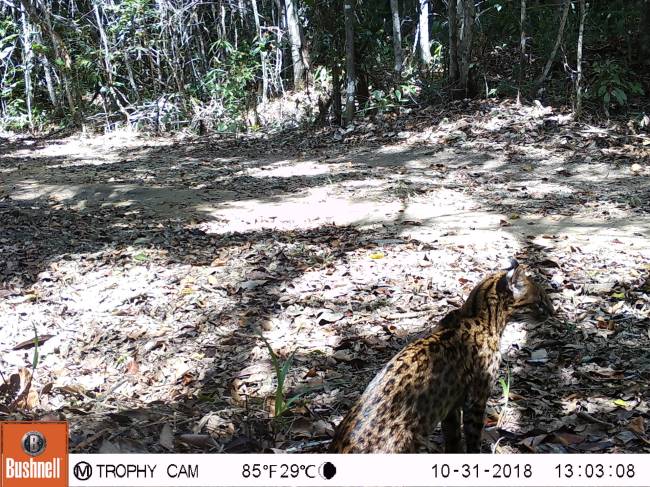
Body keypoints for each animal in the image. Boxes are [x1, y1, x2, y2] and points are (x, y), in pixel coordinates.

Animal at [326, 262, 548, 456]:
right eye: (541, 300)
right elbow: (472, 437)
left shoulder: (450, 405)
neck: (481, 315)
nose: (553, 311)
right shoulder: (476, 398)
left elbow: (453, 438)